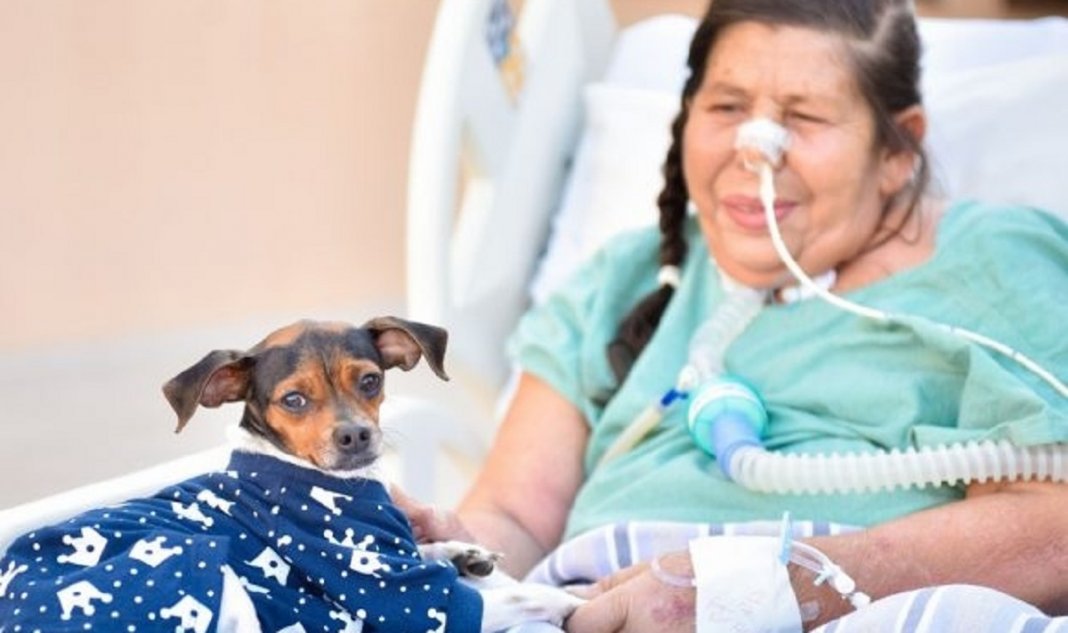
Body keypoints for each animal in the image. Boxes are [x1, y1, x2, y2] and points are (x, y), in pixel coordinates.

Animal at [0, 318, 580, 627]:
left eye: (370, 381)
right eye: (293, 400)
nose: (355, 437)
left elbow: (429, 549)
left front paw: (460, 550)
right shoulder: (420, 604)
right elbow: (541, 596)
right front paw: (578, 601)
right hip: (206, 578)